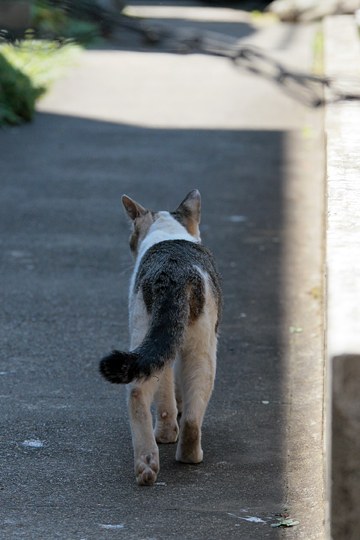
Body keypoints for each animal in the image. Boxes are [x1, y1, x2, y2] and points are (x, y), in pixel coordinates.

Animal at [99, 189, 222, 486]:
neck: (168, 233)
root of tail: (173, 273)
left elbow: (166, 393)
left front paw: (166, 432)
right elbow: (170, 392)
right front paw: (169, 429)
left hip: (147, 332)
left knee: (145, 390)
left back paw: (148, 463)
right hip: (205, 347)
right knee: (179, 403)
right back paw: (182, 453)